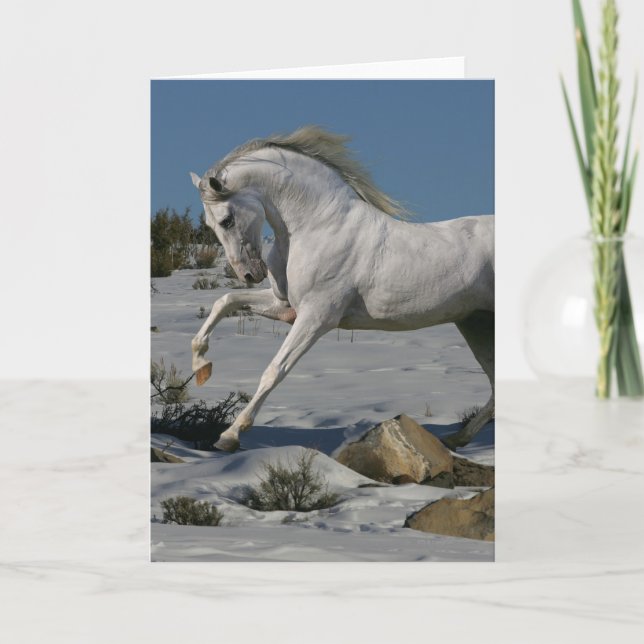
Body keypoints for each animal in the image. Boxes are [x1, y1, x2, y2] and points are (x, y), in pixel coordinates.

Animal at [189, 126, 494, 452]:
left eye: (227, 220)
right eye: (210, 225)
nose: (249, 274)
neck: (318, 226)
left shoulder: (317, 317)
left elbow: (274, 371)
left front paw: (229, 436)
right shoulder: (284, 305)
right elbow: (225, 301)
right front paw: (201, 366)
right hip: (475, 323)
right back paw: (456, 439)